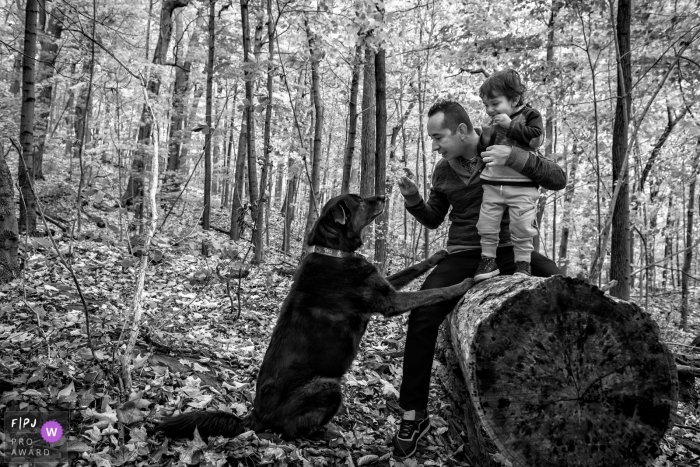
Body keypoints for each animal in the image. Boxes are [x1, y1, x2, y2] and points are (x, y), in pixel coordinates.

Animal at [158, 193, 474, 438]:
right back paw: (326, 433)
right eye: (359, 200)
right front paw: (466, 282)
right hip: (328, 386)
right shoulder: (390, 300)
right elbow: (435, 292)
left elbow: (414, 269)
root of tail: (255, 416)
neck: (333, 251)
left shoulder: (385, 286)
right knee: (292, 431)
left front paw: (438, 256)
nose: (384, 197)